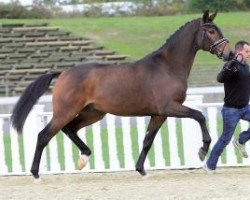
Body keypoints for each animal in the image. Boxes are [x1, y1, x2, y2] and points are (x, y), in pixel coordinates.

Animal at [11, 10, 234, 180]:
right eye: (211, 31)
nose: (230, 54)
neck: (167, 67)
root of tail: (63, 73)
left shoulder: (159, 114)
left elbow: (147, 140)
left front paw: (141, 170)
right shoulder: (169, 107)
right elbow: (199, 115)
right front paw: (203, 150)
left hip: (93, 113)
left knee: (70, 129)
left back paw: (84, 158)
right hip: (65, 112)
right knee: (44, 135)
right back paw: (36, 174)